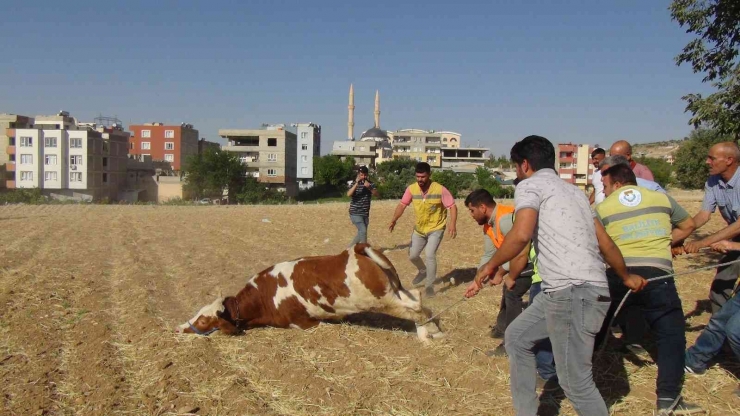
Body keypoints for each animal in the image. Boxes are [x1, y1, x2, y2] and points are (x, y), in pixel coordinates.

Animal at [176, 244, 442, 342]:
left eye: (203, 320)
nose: (179, 328)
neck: (264, 297)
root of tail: (356, 249)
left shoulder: (302, 323)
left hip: (383, 300)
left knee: (415, 310)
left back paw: (426, 337)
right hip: (396, 291)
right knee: (418, 300)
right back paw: (433, 331)